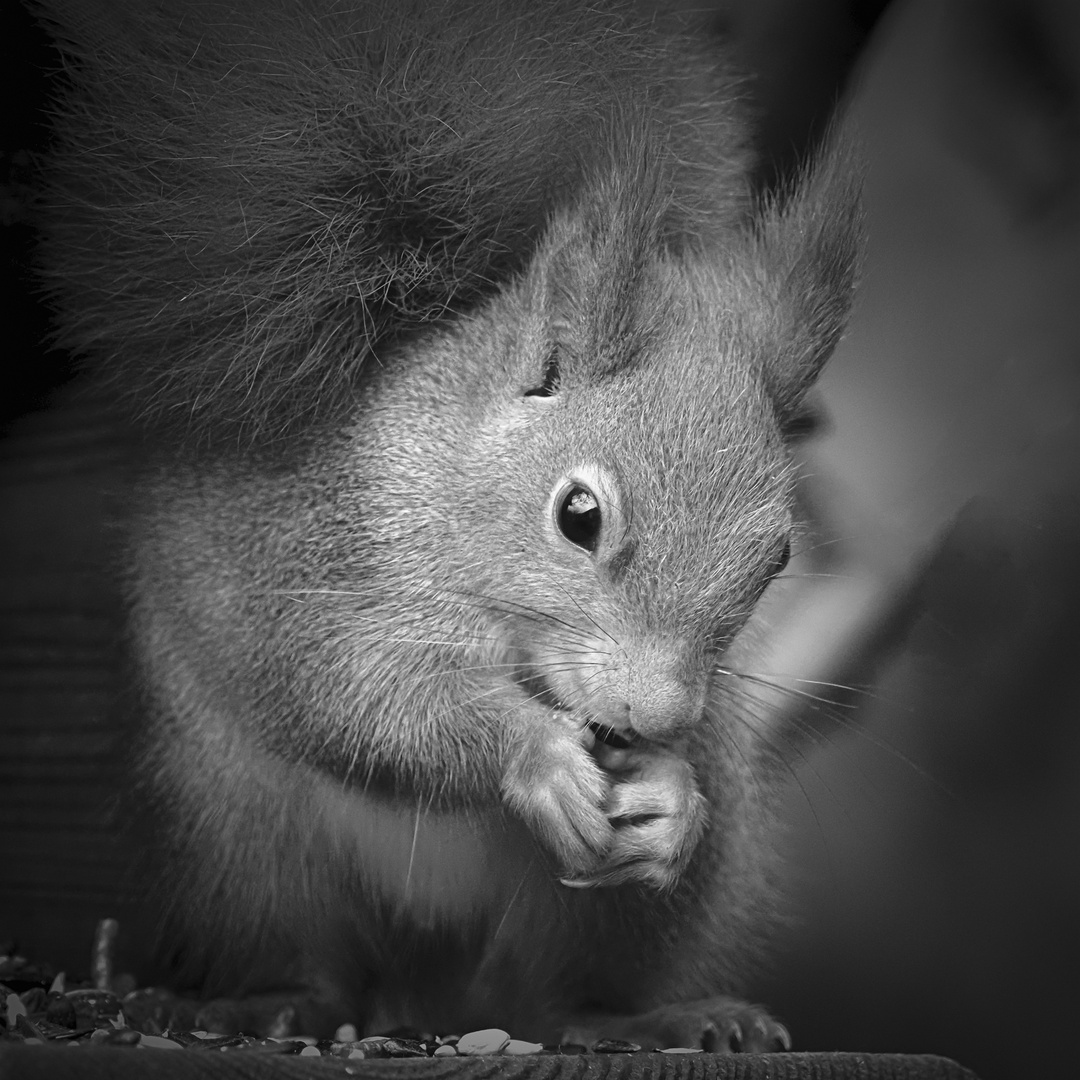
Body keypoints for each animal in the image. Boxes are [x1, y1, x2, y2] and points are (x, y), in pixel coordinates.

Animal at [31, 0, 859, 1054]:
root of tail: (428, 984)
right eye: (579, 514)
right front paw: (534, 753)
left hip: (618, 904)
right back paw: (267, 1003)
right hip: (233, 826)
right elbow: (361, 698)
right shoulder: (319, 567)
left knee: (543, 996)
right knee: (313, 955)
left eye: (777, 555)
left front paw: (671, 803)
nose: (659, 719)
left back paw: (652, 1015)